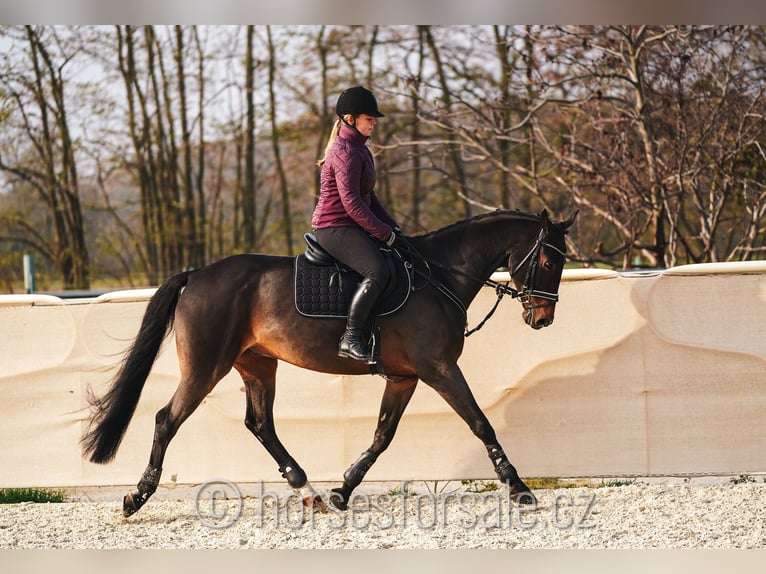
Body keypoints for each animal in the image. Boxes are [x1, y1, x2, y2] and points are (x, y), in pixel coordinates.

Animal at [82, 209, 576, 520]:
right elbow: (480, 423)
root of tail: (196, 274)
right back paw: (137, 497)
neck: (439, 276)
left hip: (258, 365)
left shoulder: (405, 377)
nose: (543, 318)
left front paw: (343, 490)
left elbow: (381, 435)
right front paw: (519, 488)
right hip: (206, 367)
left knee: (260, 424)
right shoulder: (438, 369)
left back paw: (310, 491)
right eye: (547, 260)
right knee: (167, 419)